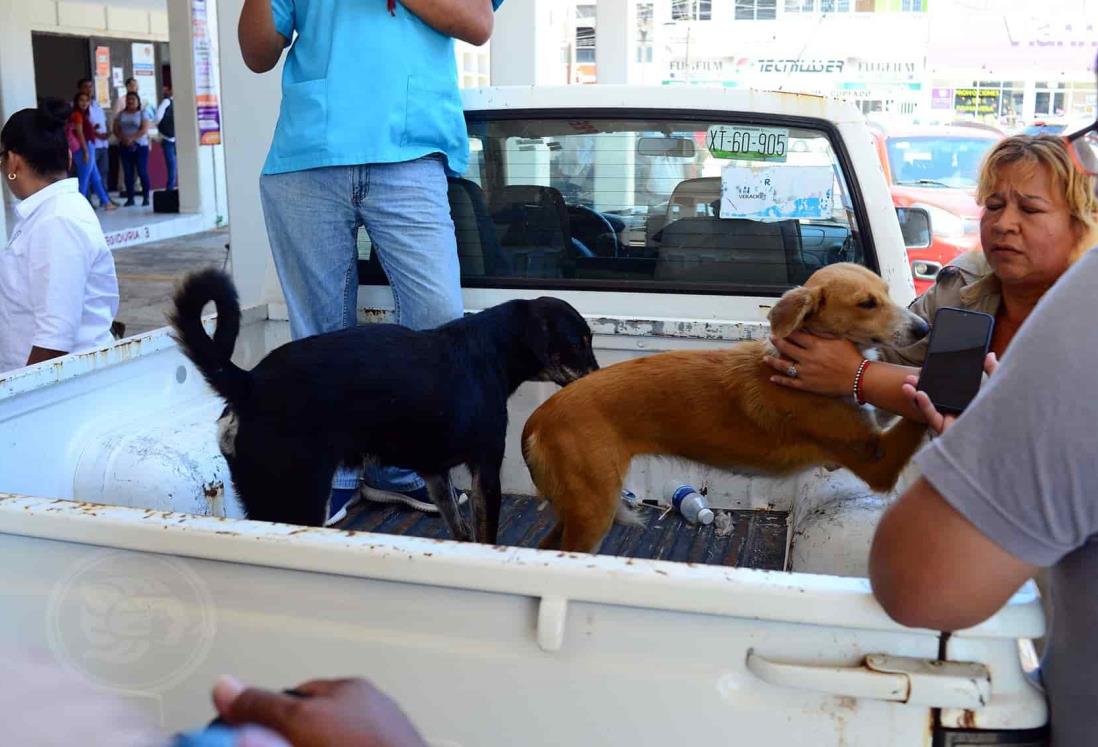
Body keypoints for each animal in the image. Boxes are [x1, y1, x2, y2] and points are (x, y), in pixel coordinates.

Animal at [169, 268, 601, 542]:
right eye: (579, 342)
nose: (600, 376)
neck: (491, 350)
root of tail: (248, 383)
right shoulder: (485, 470)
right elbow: (485, 535)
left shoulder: (436, 474)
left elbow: (460, 530)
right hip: (297, 493)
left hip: (264, 495)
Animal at [520, 263, 926, 553]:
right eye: (866, 303)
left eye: (887, 293)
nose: (923, 328)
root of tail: (538, 418)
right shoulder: (878, 462)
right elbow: (916, 408)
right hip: (592, 511)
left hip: (580, 506)